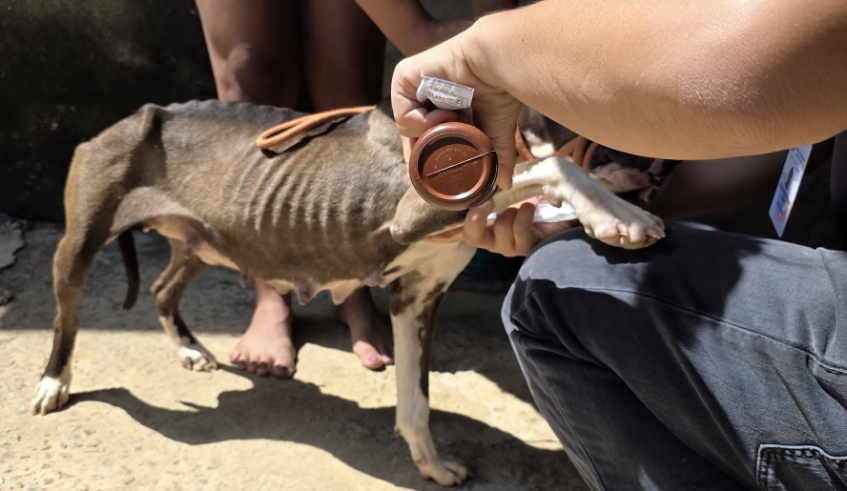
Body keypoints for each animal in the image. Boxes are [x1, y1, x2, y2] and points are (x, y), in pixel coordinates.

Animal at [31, 99, 668, 484]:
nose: (659, 171)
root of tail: (130, 118)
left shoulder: (417, 297)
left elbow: (415, 398)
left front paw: (430, 463)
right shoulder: (415, 213)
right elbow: (556, 167)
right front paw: (618, 216)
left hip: (199, 243)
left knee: (163, 290)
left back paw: (190, 349)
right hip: (79, 246)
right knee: (67, 317)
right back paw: (53, 382)